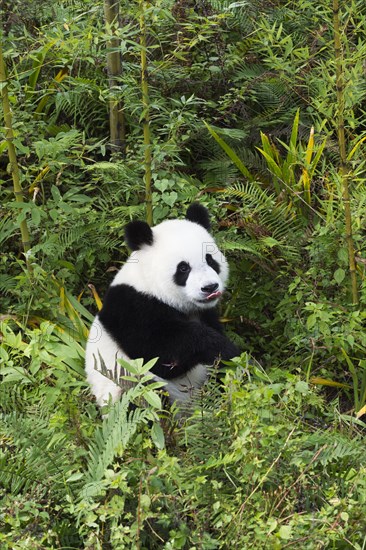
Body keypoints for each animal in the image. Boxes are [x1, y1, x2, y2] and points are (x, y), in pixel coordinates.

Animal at [85, 205, 240, 408]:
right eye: (183, 268)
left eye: (210, 260)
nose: (210, 287)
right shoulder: (132, 309)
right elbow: (160, 356)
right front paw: (224, 349)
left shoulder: (205, 312)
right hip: (124, 384)